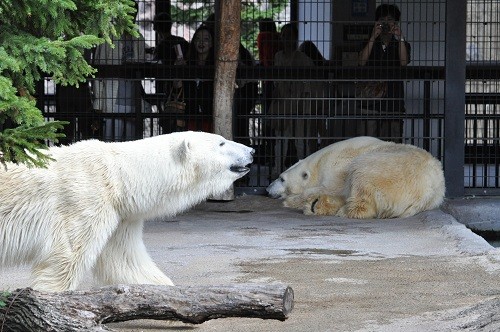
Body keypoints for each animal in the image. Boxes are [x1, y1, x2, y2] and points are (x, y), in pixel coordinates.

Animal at [0, 131, 254, 292]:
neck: (116, 176)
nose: (252, 150)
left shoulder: (121, 215)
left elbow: (125, 260)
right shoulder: (84, 201)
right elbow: (64, 259)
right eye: (221, 143)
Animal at [268, 136, 444, 219]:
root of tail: (425, 194)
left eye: (282, 178)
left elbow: (331, 187)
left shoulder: (337, 166)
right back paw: (317, 205)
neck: (318, 163)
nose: (267, 189)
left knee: (360, 181)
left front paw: (291, 200)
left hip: (384, 169)